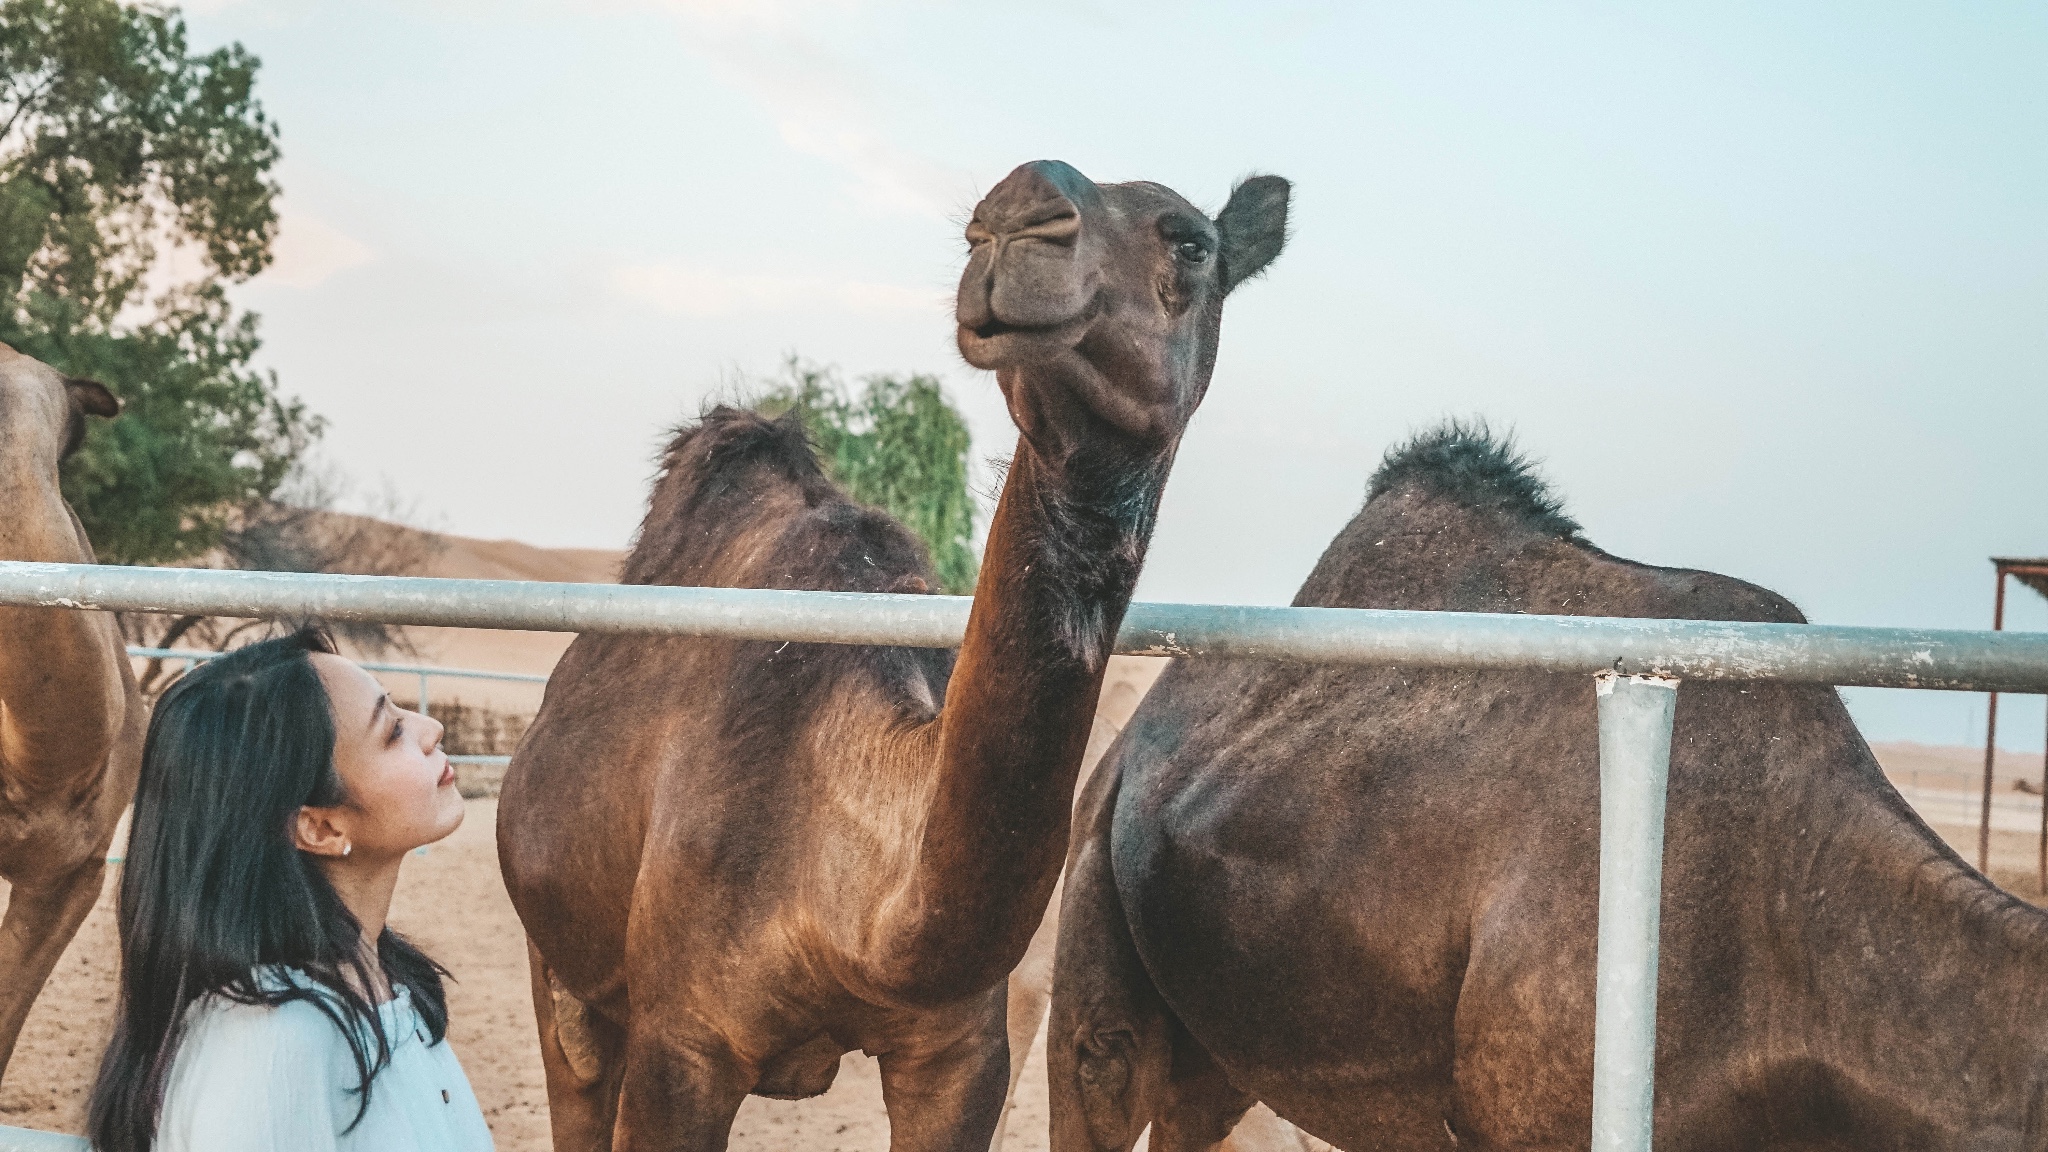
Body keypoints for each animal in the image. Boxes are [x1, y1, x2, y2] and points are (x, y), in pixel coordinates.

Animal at [497, 161, 1286, 1147]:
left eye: (1190, 242)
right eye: (975, 228)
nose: (1017, 214)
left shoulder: (960, 1053)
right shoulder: (681, 1042)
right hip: (560, 965)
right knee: (573, 1064)